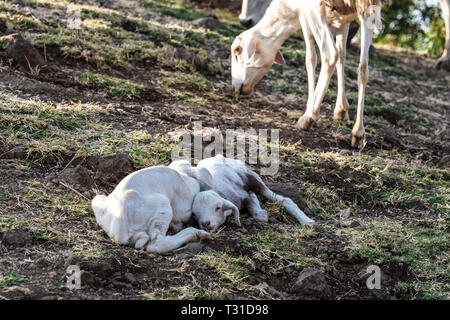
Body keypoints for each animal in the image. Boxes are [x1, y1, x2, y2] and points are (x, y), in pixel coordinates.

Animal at [93, 156, 314, 254]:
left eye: (217, 208)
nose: (205, 224)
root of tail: (119, 229)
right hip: (162, 206)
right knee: (157, 243)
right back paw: (195, 234)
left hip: (97, 201)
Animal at [230, 0, 388, 148]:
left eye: (237, 50)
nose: (235, 88)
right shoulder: (345, 17)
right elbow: (342, 57)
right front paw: (341, 109)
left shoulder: (304, 13)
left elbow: (311, 59)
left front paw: (310, 107)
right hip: (369, 8)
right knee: (363, 67)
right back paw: (358, 133)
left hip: (315, 8)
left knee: (330, 55)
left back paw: (308, 117)